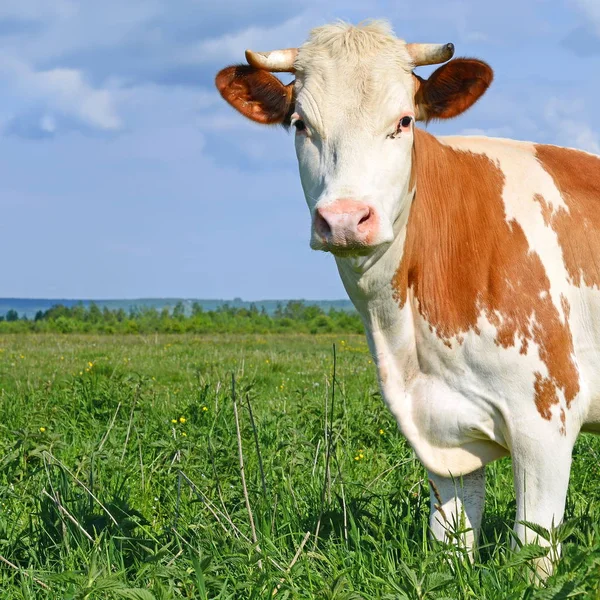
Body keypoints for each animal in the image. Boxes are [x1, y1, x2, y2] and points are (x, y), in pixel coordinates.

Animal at [214, 19, 600, 572]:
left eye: (403, 121)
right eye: (300, 123)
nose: (344, 219)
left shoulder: (546, 416)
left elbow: (533, 552)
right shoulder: (437, 424)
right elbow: (451, 545)